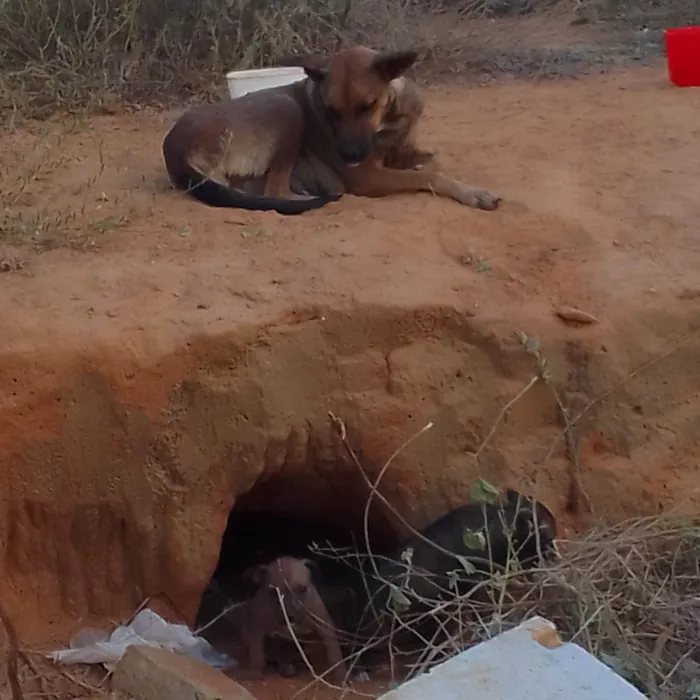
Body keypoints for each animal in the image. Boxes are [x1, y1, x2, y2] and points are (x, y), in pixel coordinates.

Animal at [161, 45, 500, 215]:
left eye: (367, 105)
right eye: (331, 110)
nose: (348, 155)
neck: (387, 118)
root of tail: (173, 149)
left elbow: (428, 160)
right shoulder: (367, 177)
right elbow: (429, 176)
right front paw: (474, 193)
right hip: (285, 106)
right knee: (276, 192)